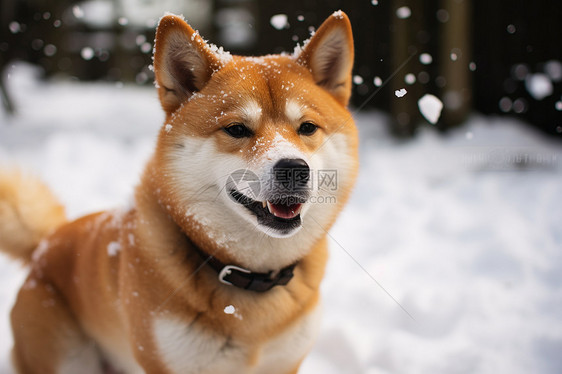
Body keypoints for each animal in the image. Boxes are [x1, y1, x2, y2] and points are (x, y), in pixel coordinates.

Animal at [0, 10, 356, 372]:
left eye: (307, 128)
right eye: (237, 129)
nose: (294, 169)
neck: (251, 276)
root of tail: (43, 246)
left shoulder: (285, 362)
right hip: (66, 356)